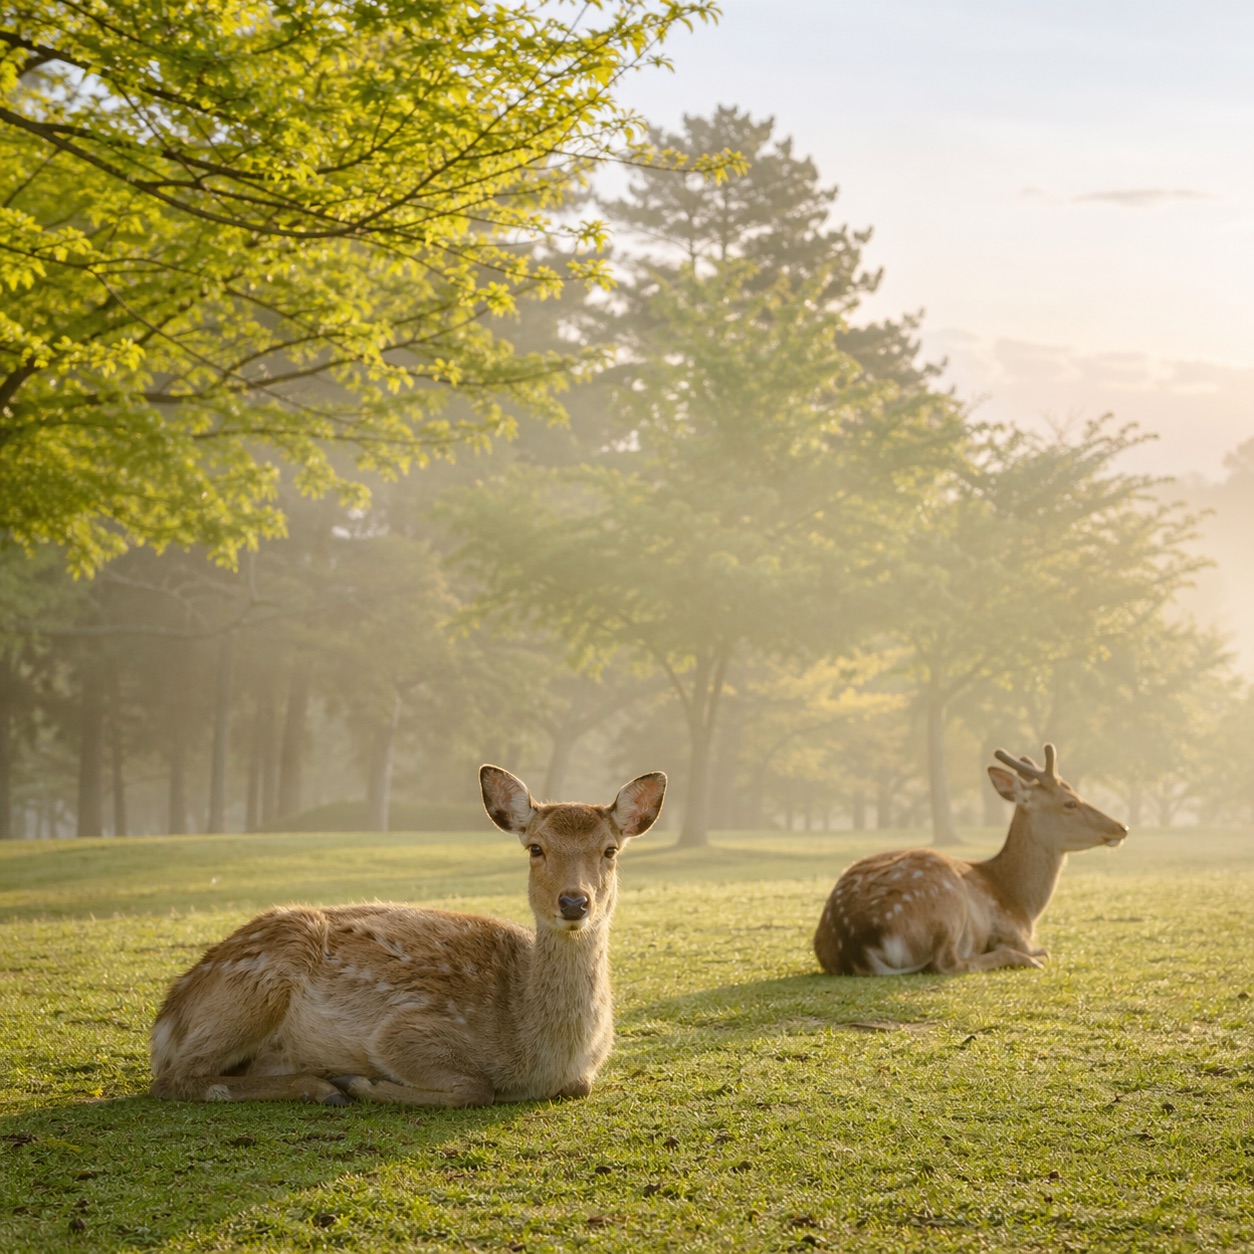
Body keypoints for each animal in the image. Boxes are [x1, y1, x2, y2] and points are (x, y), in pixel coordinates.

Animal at [149, 765, 666, 1106]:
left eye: (610, 850)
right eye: (535, 848)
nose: (574, 902)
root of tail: (165, 1021)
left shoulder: (582, 1076)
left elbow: (579, 1086)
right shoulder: (401, 1031)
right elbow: (474, 1088)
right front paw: (364, 1084)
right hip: (259, 985)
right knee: (179, 1077)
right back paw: (325, 1086)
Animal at [813, 744, 1127, 976]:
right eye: (1069, 802)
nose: (1121, 827)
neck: (1023, 904)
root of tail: (855, 944)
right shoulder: (1012, 930)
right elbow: (1043, 949)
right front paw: (1035, 955)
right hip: (946, 902)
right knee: (947, 964)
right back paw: (1022, 960)